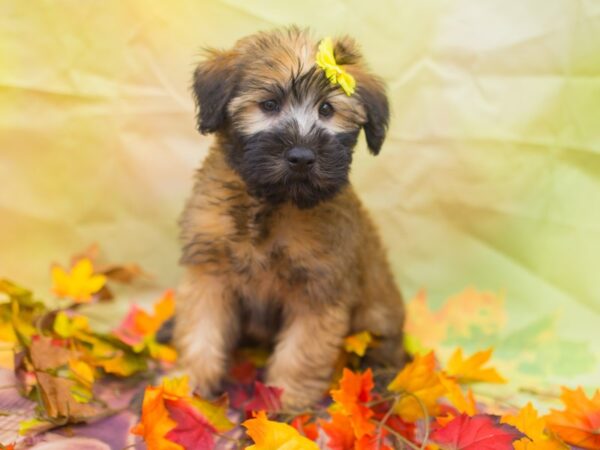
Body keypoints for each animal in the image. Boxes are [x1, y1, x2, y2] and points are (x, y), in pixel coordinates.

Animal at [175, 26, 408, 410]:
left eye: (327, 109)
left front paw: (286, 403)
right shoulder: (209, 272)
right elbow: (201, 330)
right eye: (269, 104)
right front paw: (189, 386)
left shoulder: (319, 287)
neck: (270, 203)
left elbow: (301, 351)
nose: (301, 156)